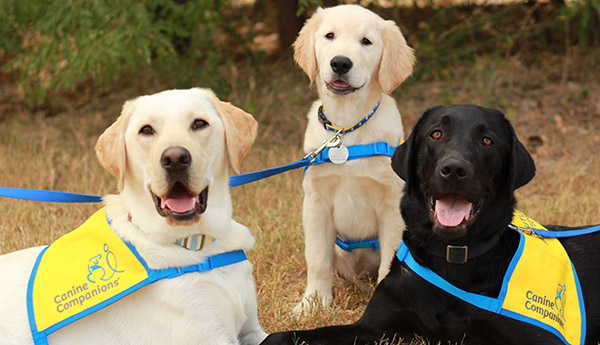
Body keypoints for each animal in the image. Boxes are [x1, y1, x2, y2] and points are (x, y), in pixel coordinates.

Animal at [0, 88, 268, 344]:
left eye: (199, 123)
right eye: (146, 130)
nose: (175, 159)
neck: (197, 244)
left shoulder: (252, 330)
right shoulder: (212, 338)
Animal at [264, 105, 600, 344]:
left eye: (487, 140)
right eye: (436, 134)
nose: (453, 169)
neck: (452, 259)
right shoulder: (373, 327)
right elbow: (283, 337)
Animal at [292, 3, 414, 314]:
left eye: (366, 41)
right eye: (329, 36)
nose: (340, 63)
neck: (346, 128)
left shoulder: (391, 206)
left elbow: (390, 261)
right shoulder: (316, 204)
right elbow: (317, 259)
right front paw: (312, 303)